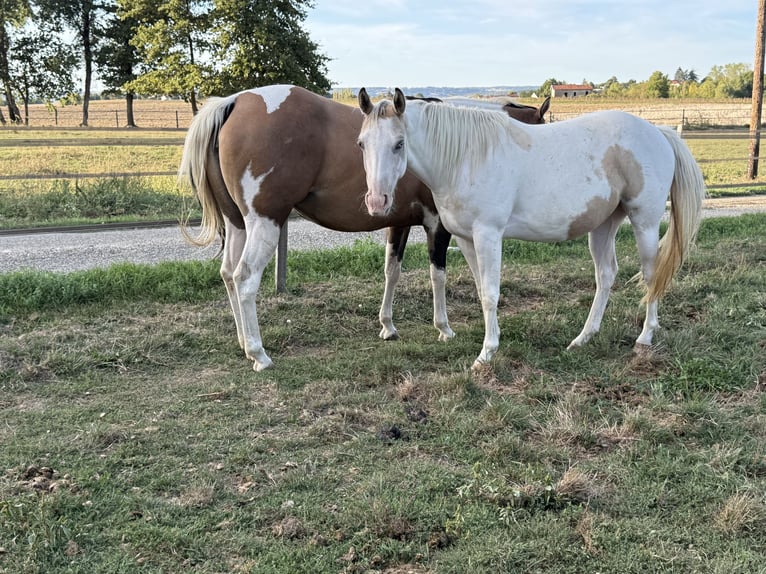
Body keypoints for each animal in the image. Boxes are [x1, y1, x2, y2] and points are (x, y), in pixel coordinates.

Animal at [178, 85, 549, 371]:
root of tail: (234, 101)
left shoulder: (397, 222)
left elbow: (391, 271)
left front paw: (387, 326)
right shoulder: (437, 225)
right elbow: (437, 275)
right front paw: (443, 328)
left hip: (238, 223)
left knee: (228, 273)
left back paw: (244, 343)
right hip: (264, 223)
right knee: (244, 277)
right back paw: (259, 354)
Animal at [357, 88, 705, 369]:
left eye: (399, 144)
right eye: (361, 144)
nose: (376, 201)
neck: (466, 158)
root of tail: (658, 132)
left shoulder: (488, 235)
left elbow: (491, 293)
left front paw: (486, 353)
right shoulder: (467, 239)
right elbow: (482, 290)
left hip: (644, 221)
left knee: (650, 275)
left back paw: (644, 338)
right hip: (604, 225)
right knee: (606, 275)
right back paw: (583, 338)